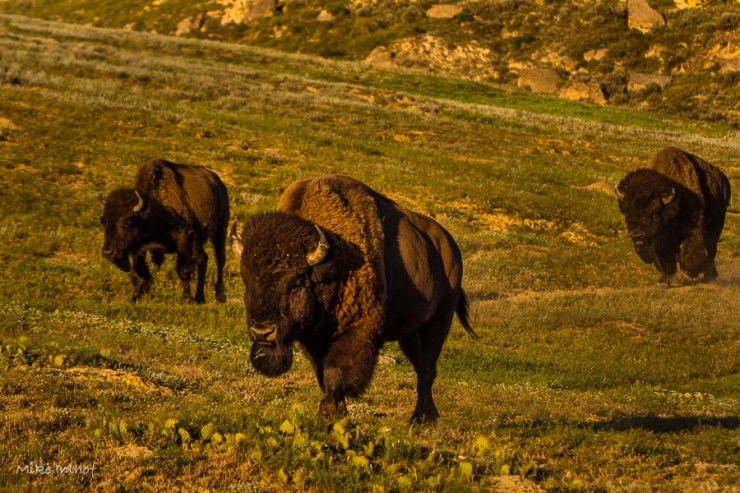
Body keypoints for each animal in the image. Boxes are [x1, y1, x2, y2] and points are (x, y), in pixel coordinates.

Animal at [101, 159, 229, 303]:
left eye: (128, 222)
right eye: (103, 221)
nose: (107, 252)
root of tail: (218, 183)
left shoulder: (184, 241)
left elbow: (183, 271)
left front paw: (187, 298)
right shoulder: (138, 248)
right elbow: (138, 273)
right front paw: (135, 297)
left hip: (220, 231)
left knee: (219, 259)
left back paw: (218, 296)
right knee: (204, 259)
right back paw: (200, 297)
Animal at [235, 175, 476, 423]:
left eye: (297, 281)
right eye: (246, 279)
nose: (262, 332)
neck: (333, 262)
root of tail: (451, 248)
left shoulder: (357, 330)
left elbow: (335, 373)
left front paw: (328, 414)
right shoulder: (314, 340)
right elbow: (323, 375)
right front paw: (338, 415)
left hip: (439, 321)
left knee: (427, 368)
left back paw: (420, 421)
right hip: (410, 333)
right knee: (421, 368)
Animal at [616, 147, 731, 284]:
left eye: (655, 213)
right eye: (627, 213)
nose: (637, 235)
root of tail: (723, 179)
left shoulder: (693, 228)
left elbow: (690, 249)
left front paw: (691, 271)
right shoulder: (659, 241)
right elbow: (663, 259)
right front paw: (663, 281)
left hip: (717, 222)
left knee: (711, 248)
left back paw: (708, 277)